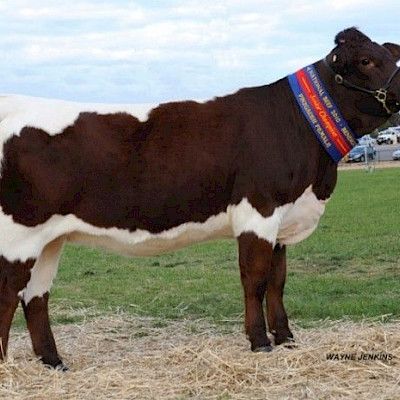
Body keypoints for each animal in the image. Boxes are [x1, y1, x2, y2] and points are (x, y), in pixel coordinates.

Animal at [0, 28, 400, 372]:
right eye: (366, 60)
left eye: (390, 55)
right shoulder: (258, 210)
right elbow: (255, 279)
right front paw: (260, 342)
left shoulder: (282, 219)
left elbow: (278, 280)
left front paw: (286, 338)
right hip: (19, 235)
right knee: (8, 293)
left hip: (49, 240)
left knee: (35, 297)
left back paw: (54, 363)